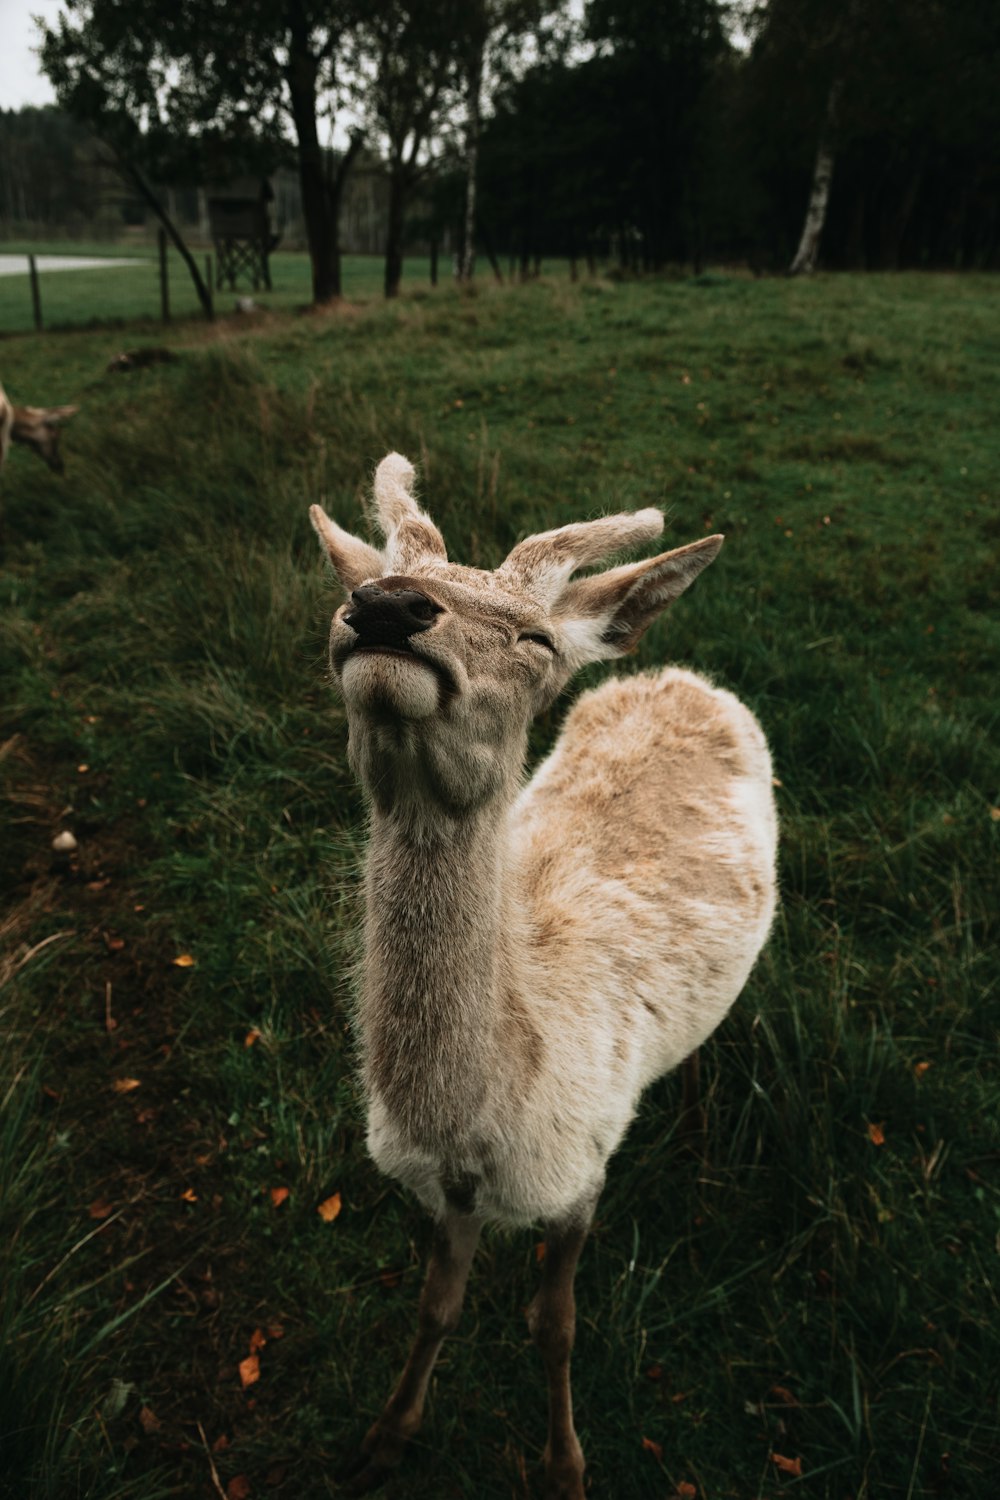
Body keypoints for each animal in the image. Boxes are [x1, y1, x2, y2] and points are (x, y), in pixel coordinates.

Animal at [308, 450, 779, 1494]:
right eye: (348, 591)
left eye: (533, 638)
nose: (385, 606)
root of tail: (682, 673)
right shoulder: (444, 1196)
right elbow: (435, 1306)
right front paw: (385, 1436)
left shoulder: (585, 1168)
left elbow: (556, 1327)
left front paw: (566, 1463)